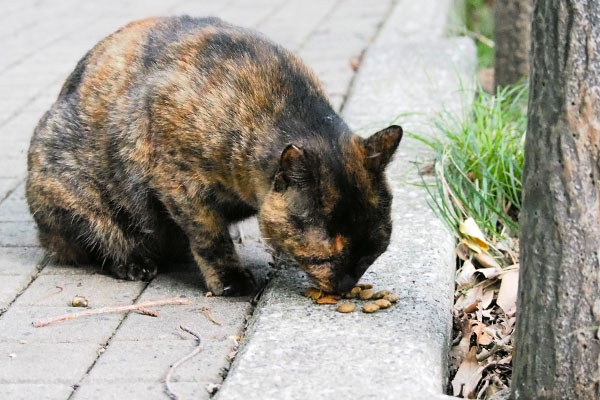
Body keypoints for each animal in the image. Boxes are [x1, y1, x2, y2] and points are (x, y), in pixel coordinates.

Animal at [27, 15, 404, 296]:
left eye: (371, 255)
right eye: (324, 258)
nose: (345, 286)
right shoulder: (178, 183)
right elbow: (210, 237)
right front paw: (229, 278)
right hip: (71, 188)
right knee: (99, 240)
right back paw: (133, 261)